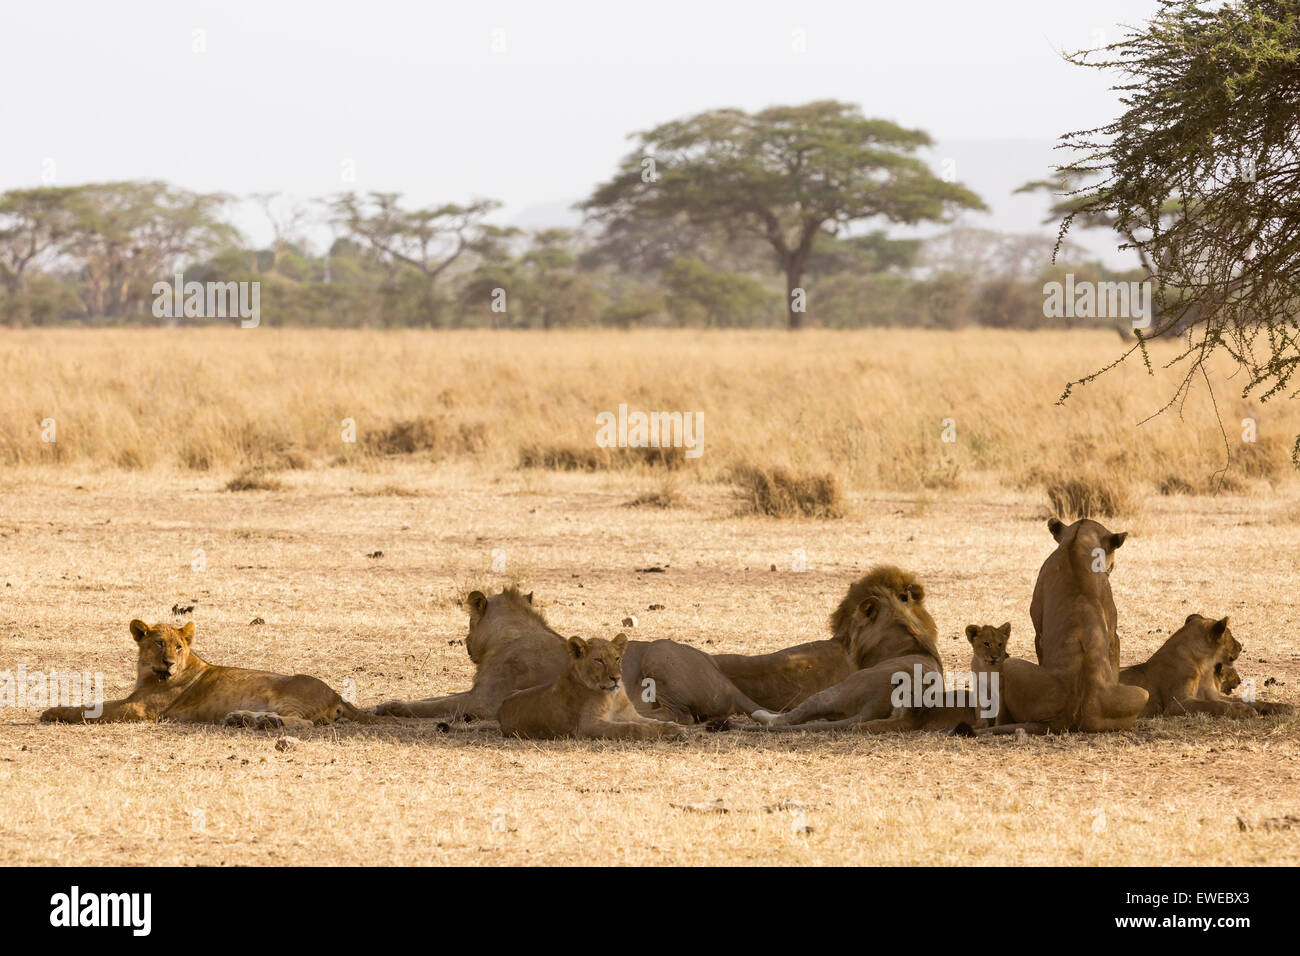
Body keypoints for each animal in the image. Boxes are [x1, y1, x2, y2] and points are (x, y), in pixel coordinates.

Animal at [40, 620, 384, 730]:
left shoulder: (139, 708)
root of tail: (338, 694)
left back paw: (264, 722)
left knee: (306, 723)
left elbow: (93, 708)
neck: (147, 673)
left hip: (288, 694)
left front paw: (52, 712)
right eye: (159, 643)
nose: (169, 663)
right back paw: (241, 718)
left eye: (178, 647)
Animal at [498, 634, 685, 740]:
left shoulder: (631, 715)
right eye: (599, 660)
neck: (612, 697)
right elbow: (630, 728)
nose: (616, 678)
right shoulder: (588, 726)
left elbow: (652, 721)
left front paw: (673, 728)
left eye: (616, 658)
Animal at [1120, 614, 1291, 718]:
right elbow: (1215, 705)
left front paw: (1283, 707)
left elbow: (1249, 700)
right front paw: (1245, 710)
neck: (1201, 665)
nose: (1241, 647)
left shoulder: (1212, 693)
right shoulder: (1177, 704)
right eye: (1230, 635)